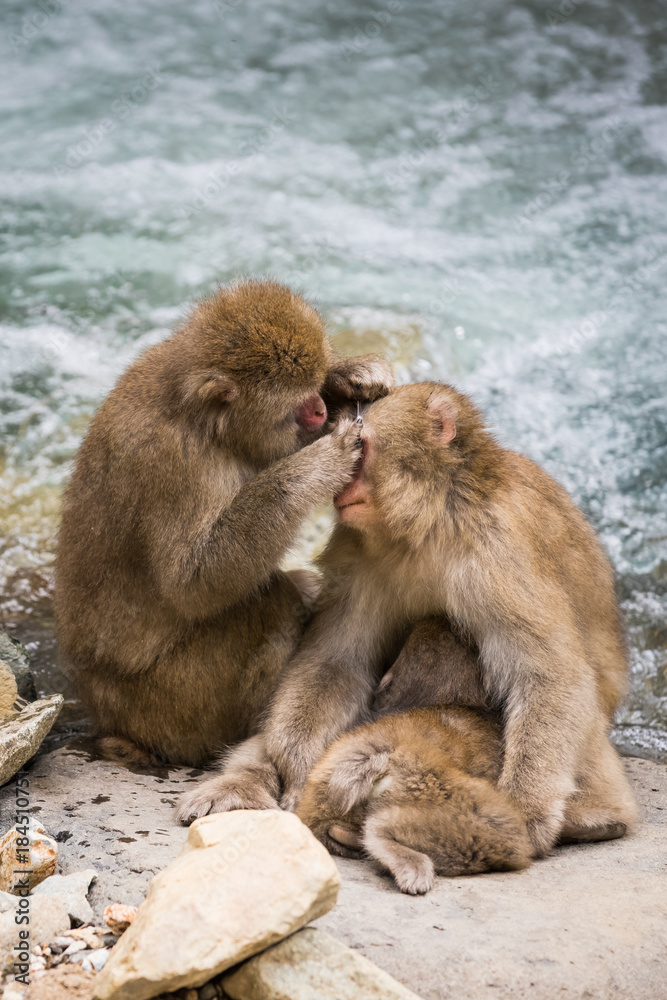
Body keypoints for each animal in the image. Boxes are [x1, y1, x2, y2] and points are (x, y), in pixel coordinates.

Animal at [56, 282, 396, 764]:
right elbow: (193, 580)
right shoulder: (174, 461)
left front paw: (350, 373)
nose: (318, 409)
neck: (204, 423)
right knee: (271, 603)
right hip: (173, 708)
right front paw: (320, 463)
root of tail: (107, 717)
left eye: (314, 392)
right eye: (301, 406)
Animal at [180, 378, 640, 856]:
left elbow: (549, 675)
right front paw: (297, 765)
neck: (432, 519)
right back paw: (237, 787)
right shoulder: (356, 552)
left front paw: (525, 811)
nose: (339, 486)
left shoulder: (500, 550)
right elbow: (337, 662)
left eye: (361, 447)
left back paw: (595, 820)